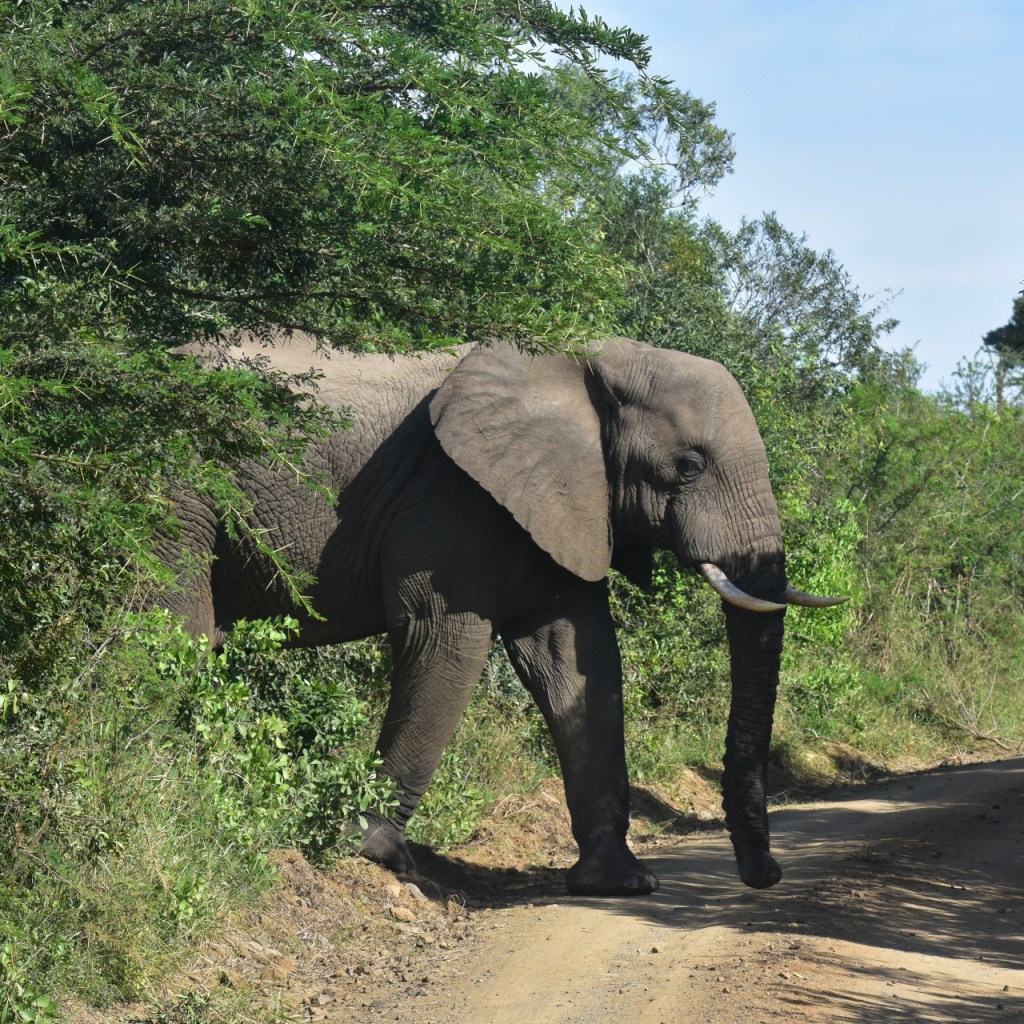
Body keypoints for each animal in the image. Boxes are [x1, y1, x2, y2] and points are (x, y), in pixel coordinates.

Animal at [166, 331, 842, 897]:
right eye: (690, 466)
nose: (765, 875)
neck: (586, 364)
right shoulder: (453, 497)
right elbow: (445, 643)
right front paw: (380, 856)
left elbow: (580, 663)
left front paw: (619, 885)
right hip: (183, 492)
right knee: (178, 632)